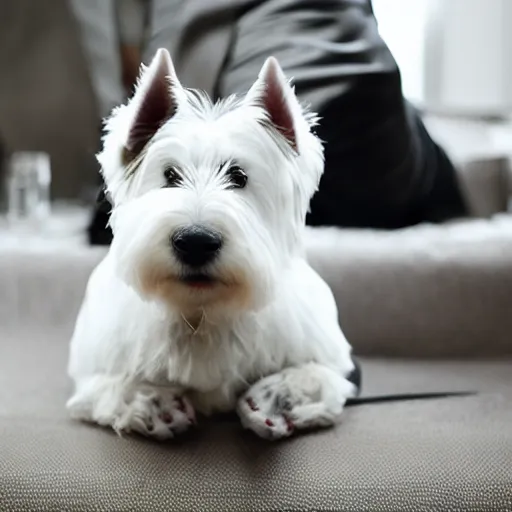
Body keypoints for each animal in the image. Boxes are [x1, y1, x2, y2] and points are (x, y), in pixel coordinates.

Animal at [66, 49, 358, 440]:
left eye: (239, 176)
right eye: (170, 175)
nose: (195, 242)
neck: (202, 313)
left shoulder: (331, 359)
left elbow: (316, 374)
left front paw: (274, 398)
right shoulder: (92, 373)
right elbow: (111, 385)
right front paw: (154, 402)